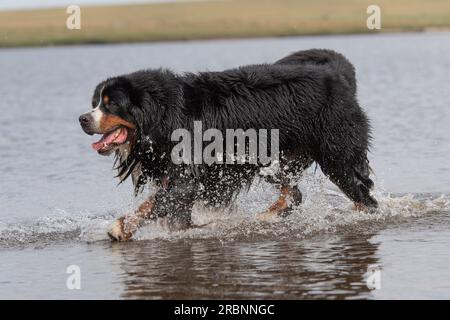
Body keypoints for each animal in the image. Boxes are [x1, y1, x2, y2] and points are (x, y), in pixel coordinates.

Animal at [79, 48, 378, 241]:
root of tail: (334, 74)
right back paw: (265, 218)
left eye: (111, 104)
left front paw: (120, 227)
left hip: (337, 154)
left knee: (364, 197)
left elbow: (155, 202)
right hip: (277, 159)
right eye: (96, 102)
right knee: (293, 194)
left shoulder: (186, 176)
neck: (162, 116)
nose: (83, 119)